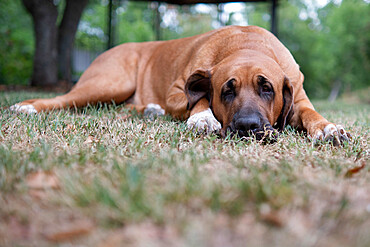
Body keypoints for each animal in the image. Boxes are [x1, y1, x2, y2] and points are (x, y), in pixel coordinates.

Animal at [9, 25, 350, 145]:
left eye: (268, 88)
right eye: (227, 90)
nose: (247, 126)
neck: (247, 44)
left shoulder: (299, 99)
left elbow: (311, 114)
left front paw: (328, 128)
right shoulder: (177, 90)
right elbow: (196, 98)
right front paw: (202, 119)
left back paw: (149, 110)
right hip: (109, 82)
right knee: (65, 99)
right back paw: (27, 106)